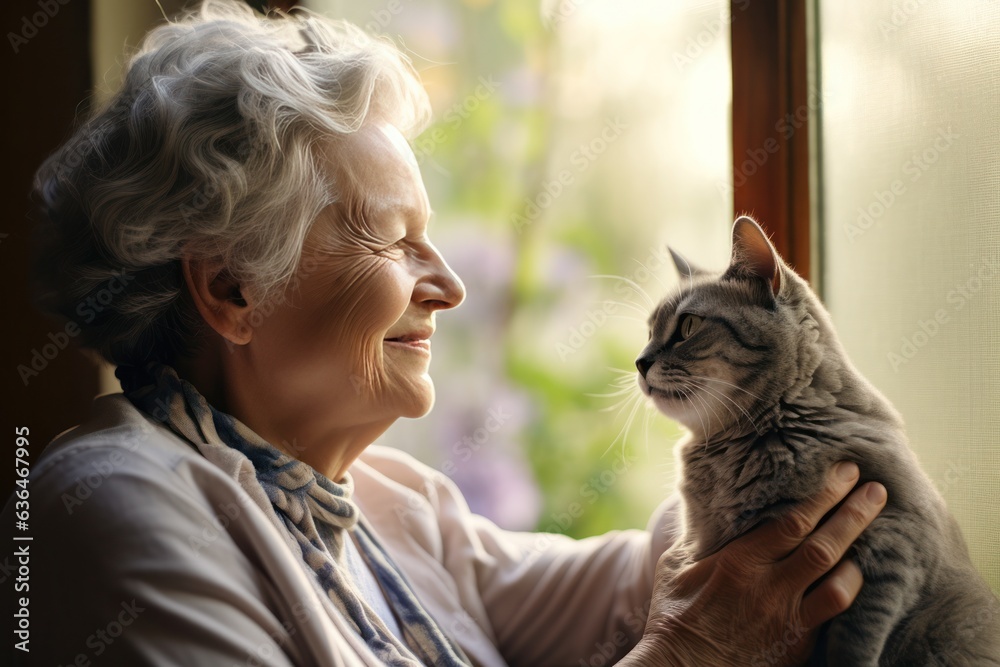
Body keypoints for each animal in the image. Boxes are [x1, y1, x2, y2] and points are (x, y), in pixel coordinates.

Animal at [636, 217, 996, 664]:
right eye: (649, 331)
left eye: (688, 326)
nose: (640, 362)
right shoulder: (700, 545)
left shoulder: (896, 540)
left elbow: (854, 639)